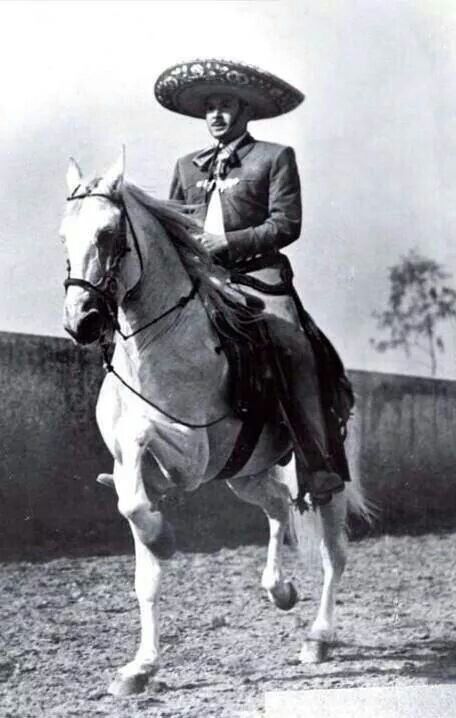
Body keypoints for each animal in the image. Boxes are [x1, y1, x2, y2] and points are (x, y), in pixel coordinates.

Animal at [59, 152, 370, 696]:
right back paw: (280, 589)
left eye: (108, 233)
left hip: (321, 471)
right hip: (245, 476)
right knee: (278, 508)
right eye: (63, 237)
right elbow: (139, 545)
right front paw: (140, 667)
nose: (81, 321)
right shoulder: (128, 464)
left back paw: (318, 637)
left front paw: (163, 536)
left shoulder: (192, 454)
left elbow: (143, 451)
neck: (155, 346)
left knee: (334, 552)